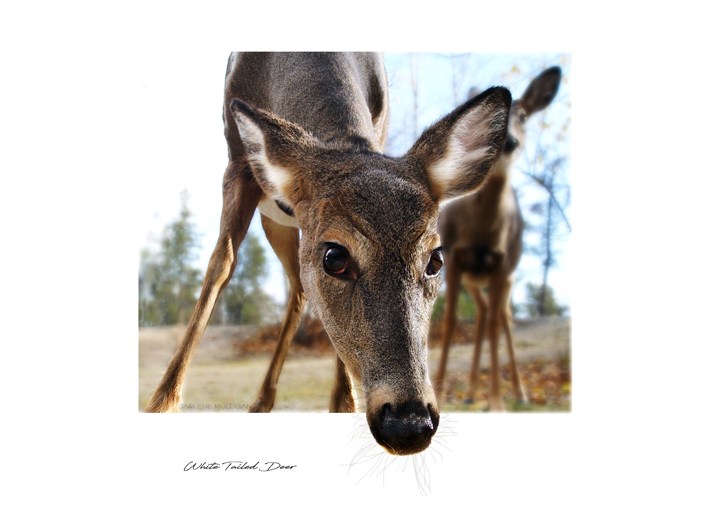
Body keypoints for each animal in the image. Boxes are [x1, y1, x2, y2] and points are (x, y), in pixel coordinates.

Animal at [145, 52, 512, 455]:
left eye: (435, 260)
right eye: (335, 257)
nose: (409, 423)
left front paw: (344, 404)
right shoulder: (237, 161)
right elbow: (220, 266)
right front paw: (161, 403)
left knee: (298, 288)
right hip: (274, 219)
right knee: (286, 282)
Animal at [432, 66, 562, 411]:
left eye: (525, 116)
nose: (509, 142)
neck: (481, 231)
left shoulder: (501, 264)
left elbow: (494, 326)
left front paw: (496, 401)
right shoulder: (453, 257)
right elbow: (450, 320)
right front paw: (438, 391)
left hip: (507, 277)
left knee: (501, 318)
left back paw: (517, 392)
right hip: (475, 280)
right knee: (482, 314)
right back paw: (470, 392)